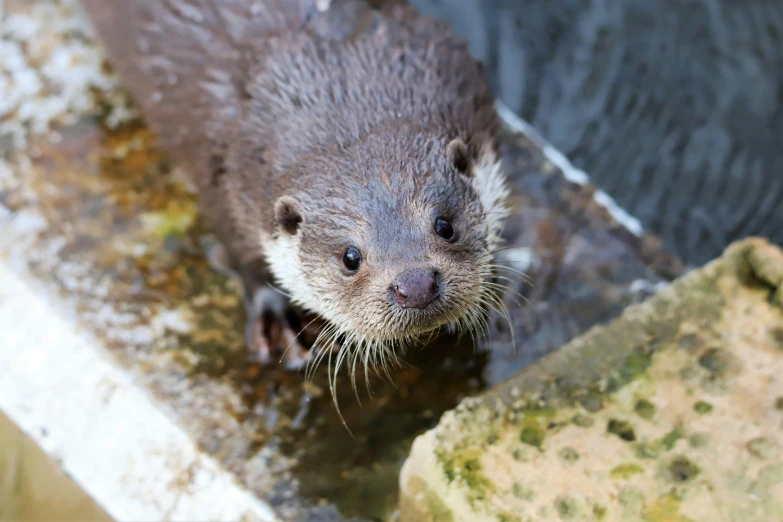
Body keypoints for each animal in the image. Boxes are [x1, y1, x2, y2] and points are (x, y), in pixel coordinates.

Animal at [86, 0, 512, 370]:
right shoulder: (220, 172)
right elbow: (240, 247)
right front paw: (278, 317)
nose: (416, 284)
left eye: (445, 226)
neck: (341, 102)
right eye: (350, 258)